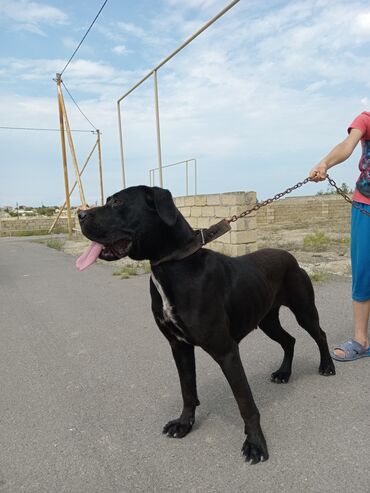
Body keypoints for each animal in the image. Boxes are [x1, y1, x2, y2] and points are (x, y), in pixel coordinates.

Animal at [77, 186, 336, 464]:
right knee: (289, 340)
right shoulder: (179, 346)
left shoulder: (226, 351)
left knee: (319, 334)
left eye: (116, 201)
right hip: (267, 320)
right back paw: (284, 373)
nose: (80, 214)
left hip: (304, 311)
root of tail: (290, 256)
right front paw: (184, 424)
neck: (173, 265)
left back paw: (327, 366)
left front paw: (255, 443)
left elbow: (245, 402)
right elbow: (188, 390)